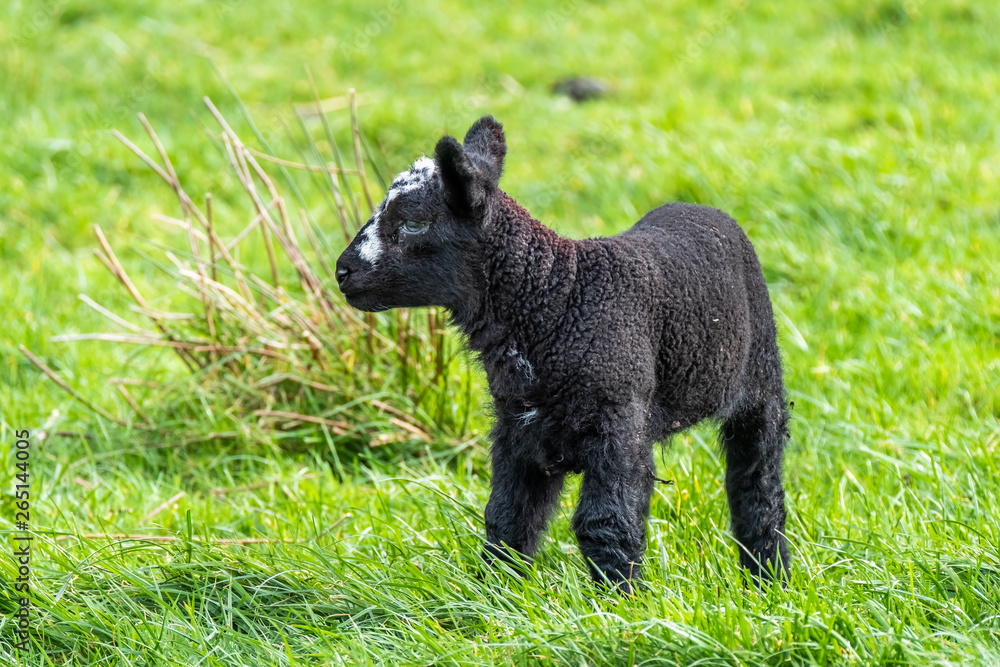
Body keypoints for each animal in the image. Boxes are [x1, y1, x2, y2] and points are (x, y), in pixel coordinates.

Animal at [335, 116, 791, 591]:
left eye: (413, 224)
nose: (341, 272)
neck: (556, 299)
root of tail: (699, 207)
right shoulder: (517, 426)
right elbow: (509, 516)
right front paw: (496, 591)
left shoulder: (620, 423)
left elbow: (606, 522)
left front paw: (620, 598)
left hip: (761, 379)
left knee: (757, 486)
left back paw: (769, 580)